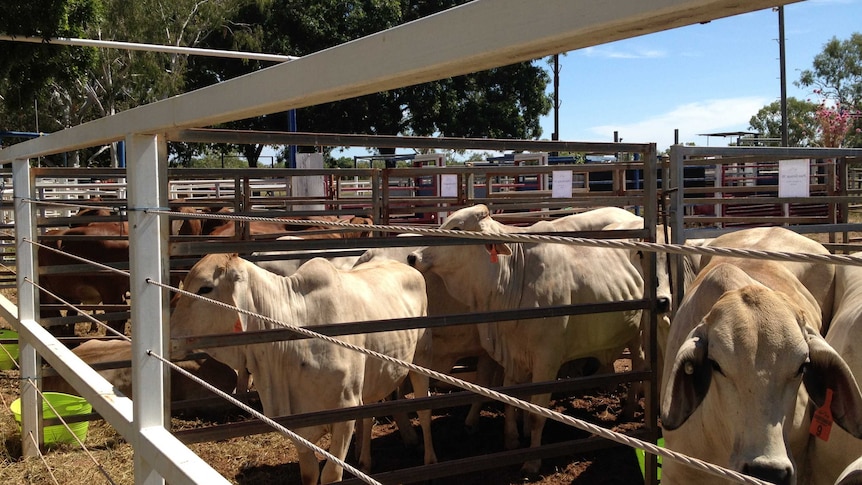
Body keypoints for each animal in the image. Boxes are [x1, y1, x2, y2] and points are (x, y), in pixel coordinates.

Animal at [170, 253, 438, 484]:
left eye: (205, 288)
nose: (170, 335)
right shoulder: (298, 426)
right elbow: (309, 474)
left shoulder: (345, 410)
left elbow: (330, 475)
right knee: (369, 415)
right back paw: (364, 463)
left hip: (420, 361)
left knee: (424, 411)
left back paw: (430, 461)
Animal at [410, 202, 648, 474]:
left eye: (458, 228)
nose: (412, 257)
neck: (514, 276)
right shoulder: (514, 355)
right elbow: (511, 399)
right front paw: (512, 439)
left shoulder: (547, 360)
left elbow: (536, 413)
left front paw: (532, 462)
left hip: (640, 332)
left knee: (640, 363)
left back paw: (630, 409)